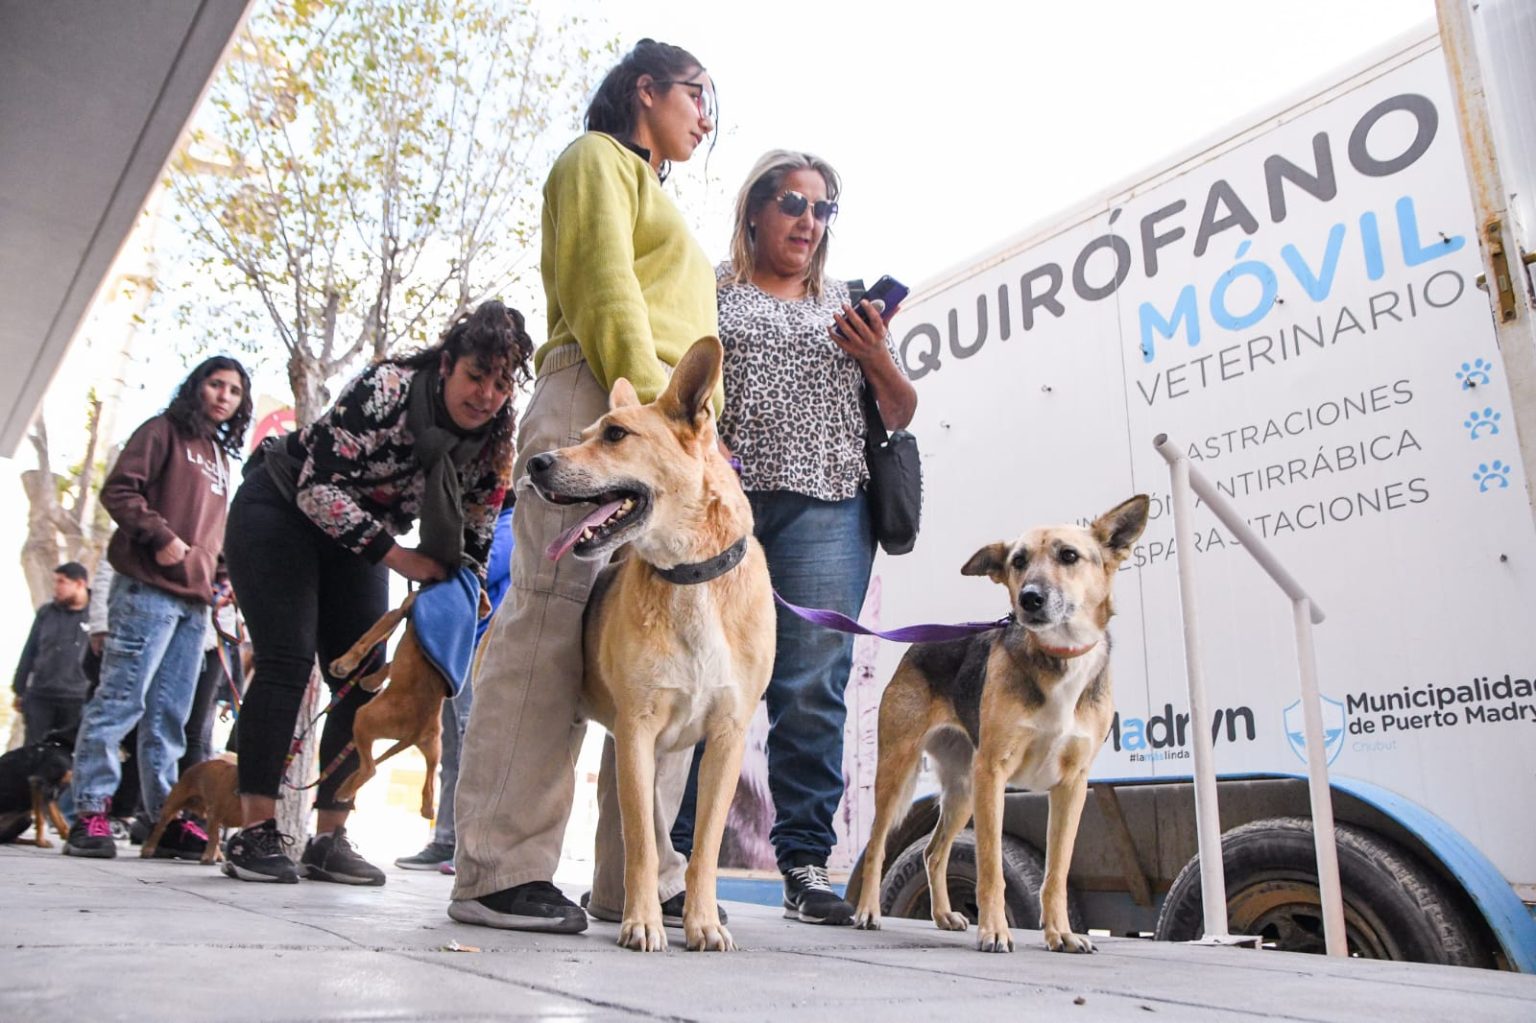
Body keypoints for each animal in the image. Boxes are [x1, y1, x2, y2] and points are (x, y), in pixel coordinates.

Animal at [327, 586, 488, 817]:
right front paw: (371, 681)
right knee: (429, 790)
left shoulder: (396, 612)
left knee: (371, 769)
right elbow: (389, 663)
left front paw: (343, 664)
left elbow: (366, 639)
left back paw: (345, 792)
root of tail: (416, 731)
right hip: (435, 747)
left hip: (364, 718)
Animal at [525, 336, 774, 946]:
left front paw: (701, 921)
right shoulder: (637, 731)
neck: (692, 578)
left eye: (615, 435)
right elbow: (639, 841)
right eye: (586, 432)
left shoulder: (726, 740)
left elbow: (703, 848)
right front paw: (642, 921)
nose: (537, 464)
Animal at [854, 494, 1155, 946]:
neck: (1059, 656)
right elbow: (992, 867)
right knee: (876, 847)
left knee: (933, 852)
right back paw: (868, 911)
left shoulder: (1072, 786)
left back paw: (943, 915)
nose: (1029, 598)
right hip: (901, 771)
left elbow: (1057, 872)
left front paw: (1061, 934)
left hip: (963, 788)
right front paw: (994, 930)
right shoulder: (993, 773)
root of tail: (921, 642)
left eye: (1069, 556)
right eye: (1018, 561)